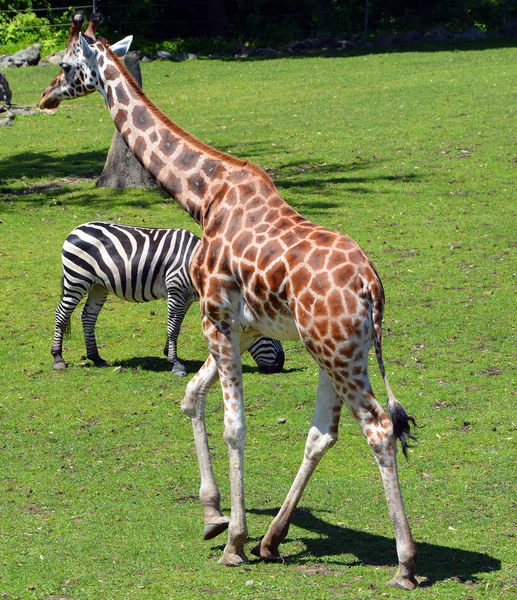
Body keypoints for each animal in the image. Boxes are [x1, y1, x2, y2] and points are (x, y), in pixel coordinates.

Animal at [52, 223, 284, 378]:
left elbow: (177, 325)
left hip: (98, 285)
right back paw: (58, 358)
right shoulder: (176, 289)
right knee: (62, 314)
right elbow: (173, 326)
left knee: (88, 316)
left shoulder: (186, 297)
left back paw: (96, 358)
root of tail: (76, 229)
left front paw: (168, 354)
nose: (280, 365)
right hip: (77, 278)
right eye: (266, 334)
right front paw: (175, 364)